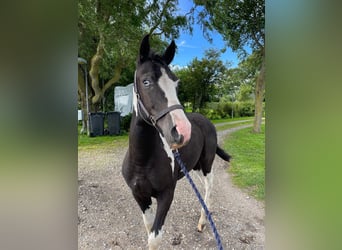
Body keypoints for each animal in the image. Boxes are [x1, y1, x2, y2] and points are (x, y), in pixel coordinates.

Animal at [121, 35, 231, 250]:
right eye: (146, 81)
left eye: (176, 84)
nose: (182, 132)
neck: (142, 161)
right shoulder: (139, 195)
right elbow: (148, 227)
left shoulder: (166, 195)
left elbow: (154, 238)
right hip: (193, 167)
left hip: (206, 163)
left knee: (209, 186)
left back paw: (203, 221)